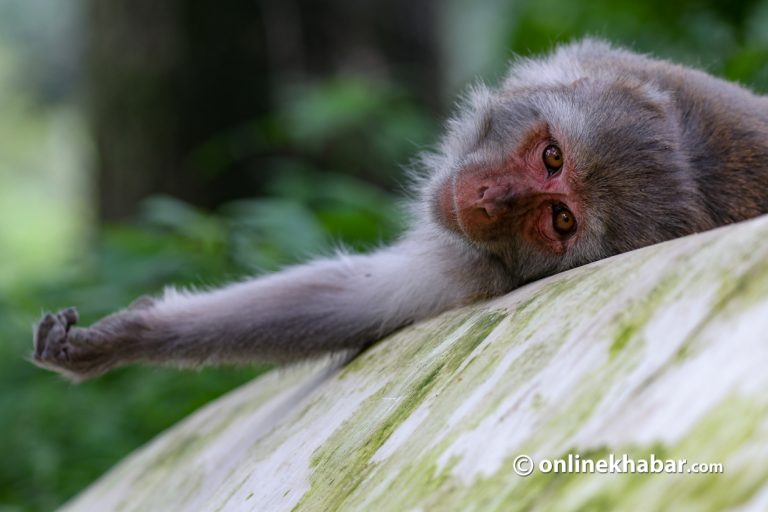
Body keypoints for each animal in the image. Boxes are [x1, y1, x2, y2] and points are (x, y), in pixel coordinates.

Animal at [33, 40, 768, 380]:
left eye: (560, 220)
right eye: (552, 156)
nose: (487, 199)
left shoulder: (482, 269)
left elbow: (363, 301)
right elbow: (354, 295)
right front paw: (127, 336)